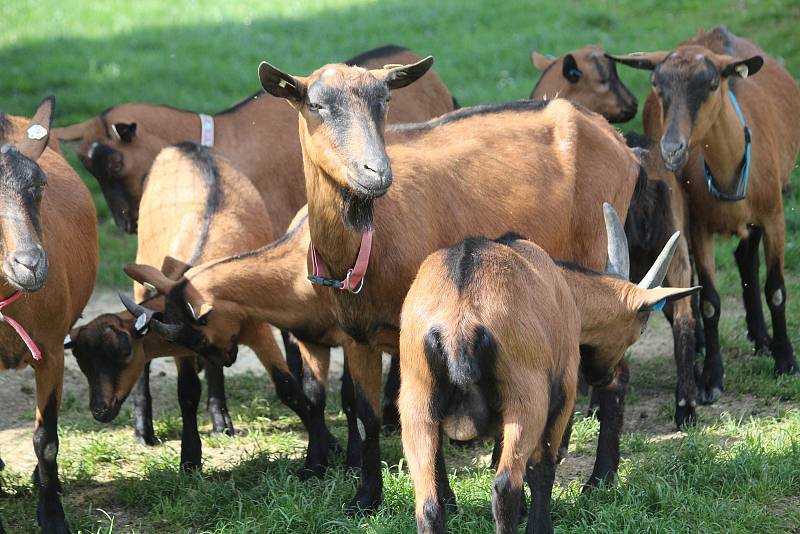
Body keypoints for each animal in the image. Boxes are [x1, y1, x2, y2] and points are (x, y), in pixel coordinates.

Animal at [256, 56, 644, 512]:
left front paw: (447, 498)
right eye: (315, 104)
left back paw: (600, 478)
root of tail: (619, 143)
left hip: (596, 256)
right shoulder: (357, 336)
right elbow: (369, 417)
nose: (376, 172)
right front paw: (366, 498)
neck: (367, 244)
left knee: (614, 372)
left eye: (384, 101)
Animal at [404, 206, 696, 534]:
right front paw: (539, 522)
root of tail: (459, 321)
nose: (603, 377)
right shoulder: (563, 391)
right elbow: (542, 466)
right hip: (526, 401)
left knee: (429, 502)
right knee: (505, 484)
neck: (564, 286)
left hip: (417, 406)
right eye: (641, 328)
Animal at [608, 25, 800, 402]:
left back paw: (762, 338)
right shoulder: (700, 228)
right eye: (656, 84)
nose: (671, 149)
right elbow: (710, 301)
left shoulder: (775, 217)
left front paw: (786, 360)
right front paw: (711, 375)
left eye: (711, 84)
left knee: (747, 258)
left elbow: (777, 290)